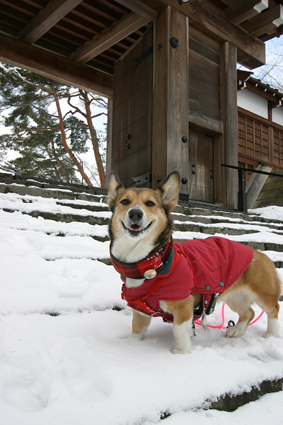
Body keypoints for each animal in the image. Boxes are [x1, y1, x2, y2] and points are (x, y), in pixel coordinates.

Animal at [108, 171, 282, 352]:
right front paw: (132, 344)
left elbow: (179, 331)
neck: (150, 262)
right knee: (249, 312)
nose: (135, 213)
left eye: (150, 203)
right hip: (234, 297)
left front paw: (180, 352)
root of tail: (261, 253)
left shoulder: (183, 306)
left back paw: (271, 334)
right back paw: (236, 331)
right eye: (125, 201)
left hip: (263, 294)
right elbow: (137, 327)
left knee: (274, 310)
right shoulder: (140, 309)